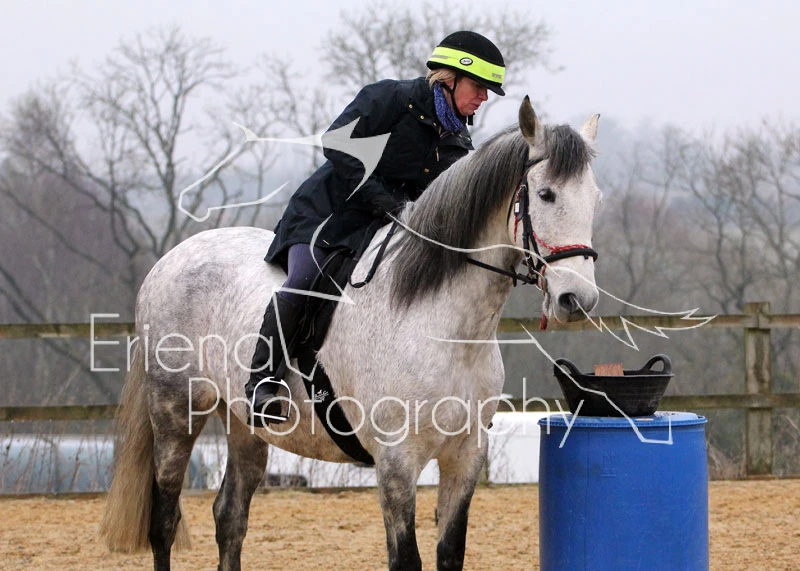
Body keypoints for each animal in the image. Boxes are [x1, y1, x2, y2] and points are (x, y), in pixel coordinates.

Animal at [100, 97, 603, 571]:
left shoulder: (465, 457)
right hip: (176, 412)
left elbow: (450, 553)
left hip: (244, 425)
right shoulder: (396, 463)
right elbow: (406, 559)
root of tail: (170, 260)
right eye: (546, 194)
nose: (577, 299)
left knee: (230, 518)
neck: (445, 325)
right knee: (164, 521)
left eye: (595, 197)